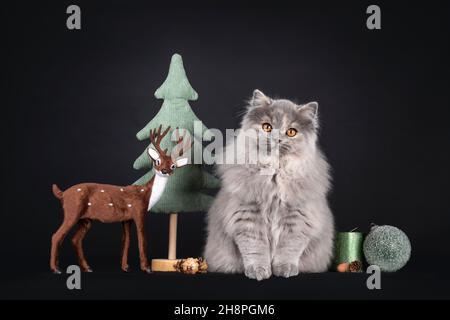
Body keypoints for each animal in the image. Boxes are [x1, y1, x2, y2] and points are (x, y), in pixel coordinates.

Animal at [204, 89, 334, 280]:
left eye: (291, 132)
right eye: (267, 127)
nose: (277, 139)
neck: (274, 174)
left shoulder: (298, 219)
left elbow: (288, 250)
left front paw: (285, 269)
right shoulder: (247, 216)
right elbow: (255, 250)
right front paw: (258, 271)